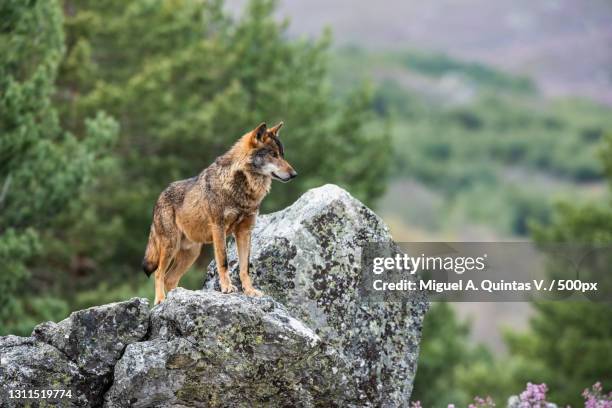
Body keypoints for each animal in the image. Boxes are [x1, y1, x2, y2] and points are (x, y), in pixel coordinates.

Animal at [142, 122, 298, 304]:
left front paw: (250, 291)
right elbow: (223, 262)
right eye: (273, 155)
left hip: (191, 253)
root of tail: (159, 197)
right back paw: (160, 300)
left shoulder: (244, 232)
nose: (294, 174)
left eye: (282, 155)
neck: (243, 188)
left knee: (170, 278)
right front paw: (227, 288)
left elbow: (245, 267)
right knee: (159, 273)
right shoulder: (219, 228)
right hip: (170, 247)